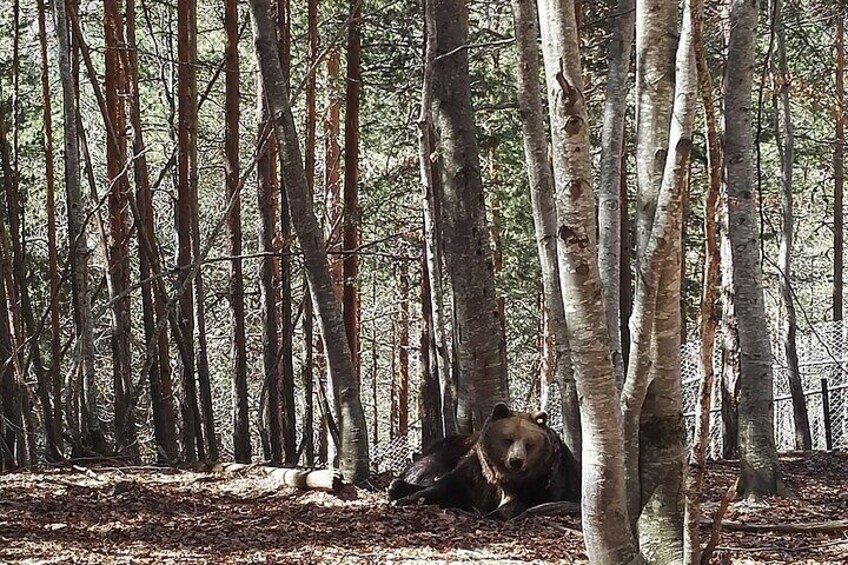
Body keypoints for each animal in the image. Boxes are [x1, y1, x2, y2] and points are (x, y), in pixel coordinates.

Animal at [388, 400, 580, 520]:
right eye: (508, 439)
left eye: (529, 444)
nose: (516, 461)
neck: (502, 477)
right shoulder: (476, 471)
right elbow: (446, 487)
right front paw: (406, 500)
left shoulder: (542, 480)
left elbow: (521, 503)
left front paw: (493, 513)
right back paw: (396, 487)